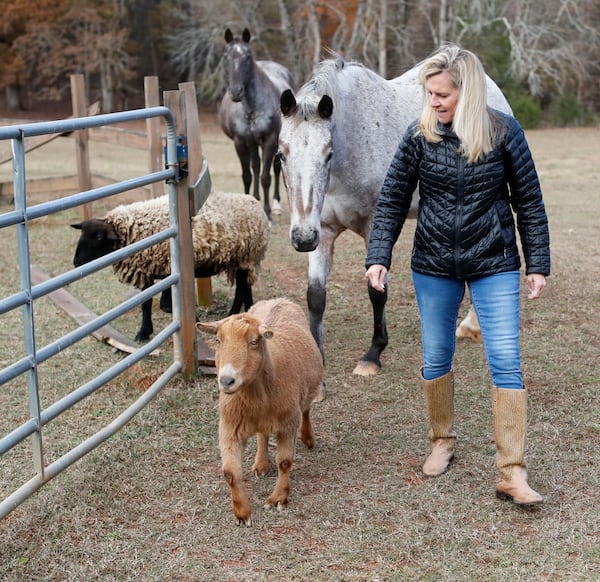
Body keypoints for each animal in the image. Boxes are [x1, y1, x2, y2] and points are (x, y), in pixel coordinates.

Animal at [70, 192, 270, 342]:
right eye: (81, 234)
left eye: (97, 237)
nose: (76, 263)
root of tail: (256, 204)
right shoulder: (149, 270)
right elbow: (148, 303)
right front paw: (145, 331)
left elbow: (157, 303)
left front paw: (146, 330)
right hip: (241, 259)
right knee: (244, 286)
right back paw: (244, 312)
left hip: (247, 256)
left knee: (243, 286)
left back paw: (235, 312)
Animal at [197, 298, 324, 528]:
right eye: (218, 340)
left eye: (254, 341)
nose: (226, 380)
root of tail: (278, 299)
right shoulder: (229, 427)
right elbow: (230, 473)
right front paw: (242, 513)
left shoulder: (288, 423)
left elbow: (284, 462)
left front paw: (278, 499)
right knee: (262, 434)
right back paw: (261, 463)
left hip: (307, 391)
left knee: (307, 410)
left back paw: (308, 438)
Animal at [219, 28, 296, 219]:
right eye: (226, 56)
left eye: (247, 57)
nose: (236, 92)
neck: (251, 107)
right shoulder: (240, 142)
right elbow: (247, 175)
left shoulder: (269, 140)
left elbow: (265, 177)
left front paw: (267, 212)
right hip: (252, 143)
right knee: (255, 167)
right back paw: (256, 198)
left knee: (275, 169)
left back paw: (276, 205)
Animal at [278, 57, 512, 376]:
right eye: (281, 155)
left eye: (328, 154)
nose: (302, 238)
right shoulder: (321, 230)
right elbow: (315, 295)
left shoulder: (374, 226)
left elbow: (377, 291)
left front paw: (373, 355)